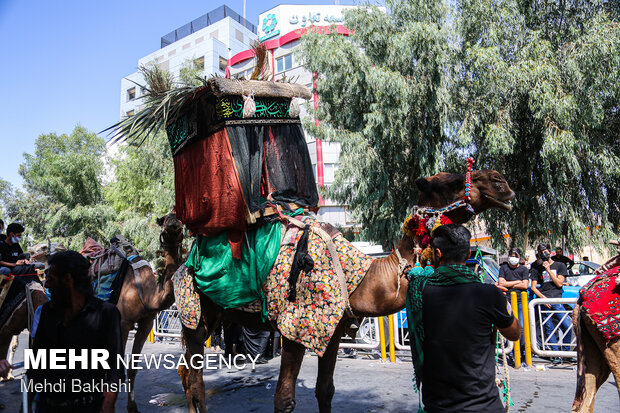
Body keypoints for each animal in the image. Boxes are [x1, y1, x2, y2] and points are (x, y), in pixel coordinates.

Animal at [165, 168, 512, 412]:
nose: (501, 182)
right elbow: (284, 399)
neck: (357, 276)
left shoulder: (332, 332)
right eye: (450, 182)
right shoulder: (297, 326)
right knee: (194, 379)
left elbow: (325, 391)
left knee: (186, 373)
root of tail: (185, 261)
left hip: (214, 315)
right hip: (193, 311)